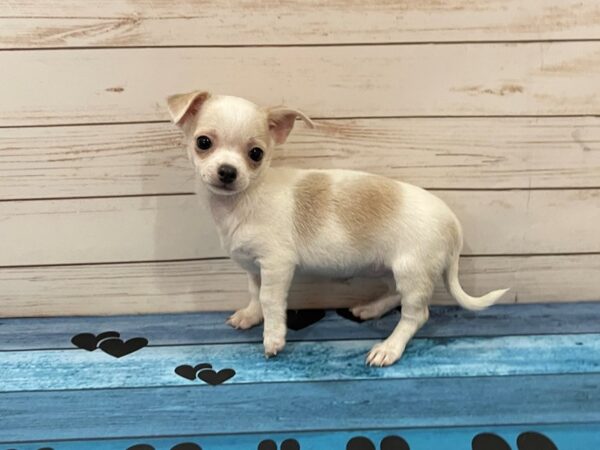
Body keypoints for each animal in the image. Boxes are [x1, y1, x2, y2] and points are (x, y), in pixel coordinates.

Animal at [166, 90, 508, 366]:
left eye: (256, 154)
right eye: (203, 143)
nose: (227, 171)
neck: (242, 200)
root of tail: (453, 222)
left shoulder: (277, 265)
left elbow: (271, 300)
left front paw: (273, 338)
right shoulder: (253, 266)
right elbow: (254, 293)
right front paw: (251, 316)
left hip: (413, 269)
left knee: (416, 315)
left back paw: (389, 348)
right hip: (391, 267)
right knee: (395, 294)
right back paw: (371, 309)